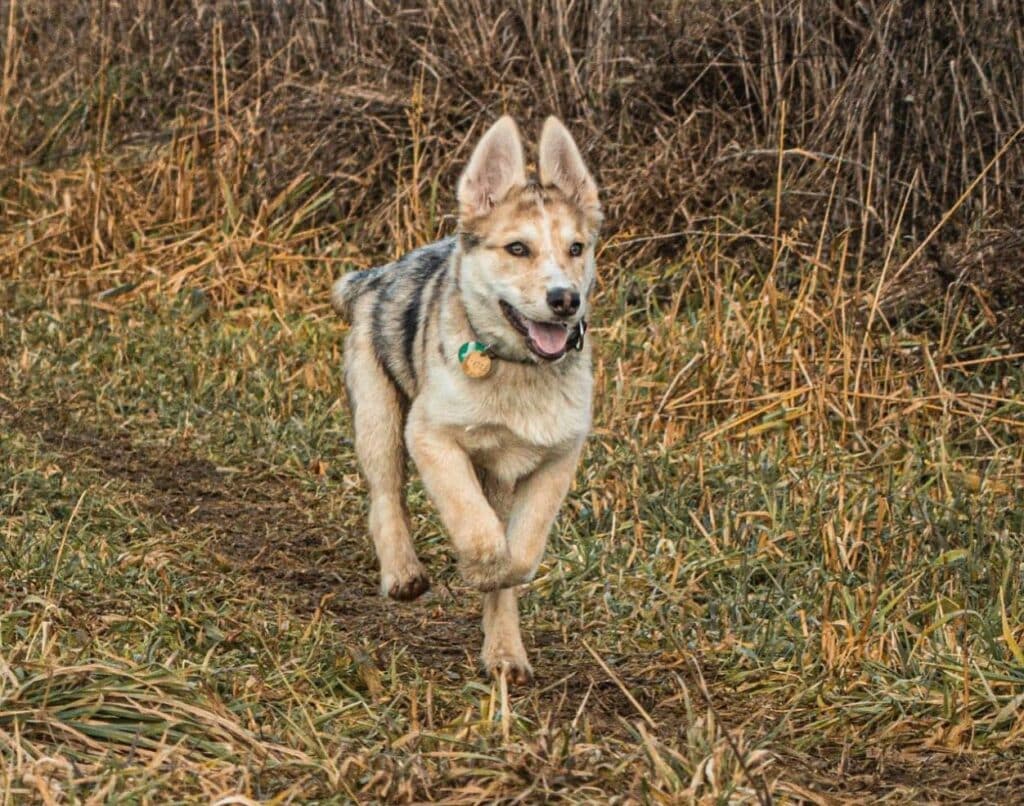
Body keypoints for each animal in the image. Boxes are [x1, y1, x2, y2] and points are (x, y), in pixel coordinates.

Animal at [331, 115, 598, 680]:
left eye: (576, 248)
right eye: (517, 248)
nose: (565, 300)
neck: (517, 369)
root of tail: (378, 274)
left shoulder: (558, 459)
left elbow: (522, 551)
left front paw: (499, 584)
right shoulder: (431, 438)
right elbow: (475, 529)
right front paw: (479, 567)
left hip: (494, 476)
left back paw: (504, 653)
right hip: (380, 420)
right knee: (386, 495)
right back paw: (403, 572)